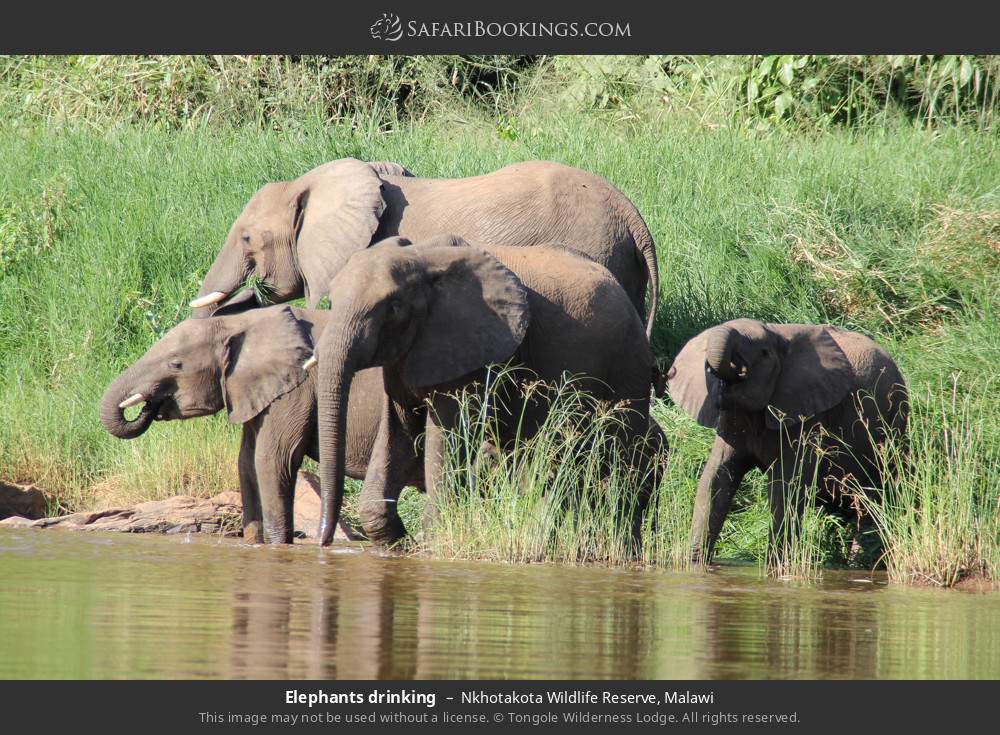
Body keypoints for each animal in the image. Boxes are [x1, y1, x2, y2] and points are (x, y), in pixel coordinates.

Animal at [98, 304, 422, 544]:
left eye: (176, 364)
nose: (149, 404)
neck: (238, 323)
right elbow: (245, 462)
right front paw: (254, 544)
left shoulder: (294, 391)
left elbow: (272, 460)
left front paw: (278, 547)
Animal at [311, 234, 666, 548]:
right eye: (334, 299)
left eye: (394, 307)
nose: (323, 541)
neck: (423, 257)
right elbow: (400, 431)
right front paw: (401, 542)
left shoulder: (473, 350)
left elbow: (447, 436)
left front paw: (433, 540)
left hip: (627, 366)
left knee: (619, 464)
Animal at [666, 319, 908, 566]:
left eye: (764, 353)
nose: (725, 369)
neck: (777, 332)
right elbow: (716, 478)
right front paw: (695, 564)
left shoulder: (806, 413)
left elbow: (786, 486)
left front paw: (778, 566)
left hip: (892, 425)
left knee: (872, 497)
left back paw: (860, 564)